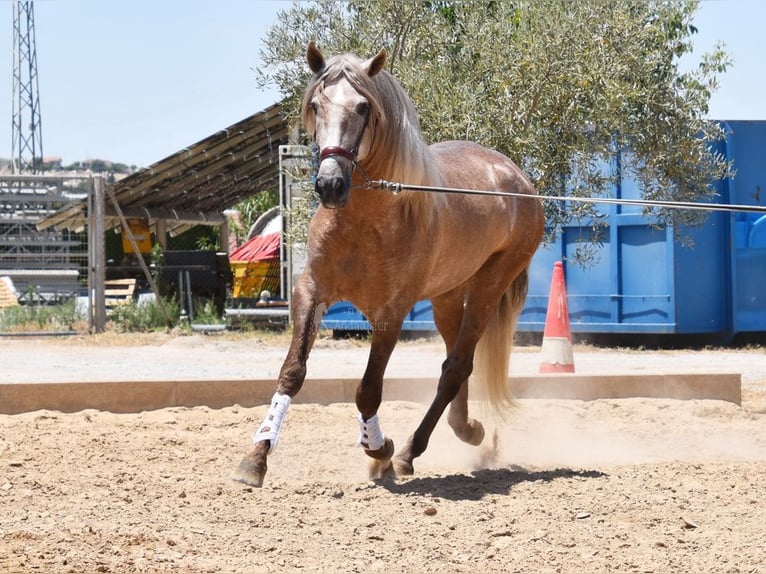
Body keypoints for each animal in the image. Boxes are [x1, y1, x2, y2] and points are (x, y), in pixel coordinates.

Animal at [234, 42, 544, 488]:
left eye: (364, 107)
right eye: (316, 104)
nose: (330, 185)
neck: (364, 221)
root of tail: (518, 179)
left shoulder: (390, 315)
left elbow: (368, 390)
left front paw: (379, 449)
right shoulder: (311, 292)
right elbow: (292, 372)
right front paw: (257, 456)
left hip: (489, 287)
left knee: (455, 367)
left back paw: (411, 451)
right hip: (447, 297)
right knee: (458, 364)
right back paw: (467, 430)